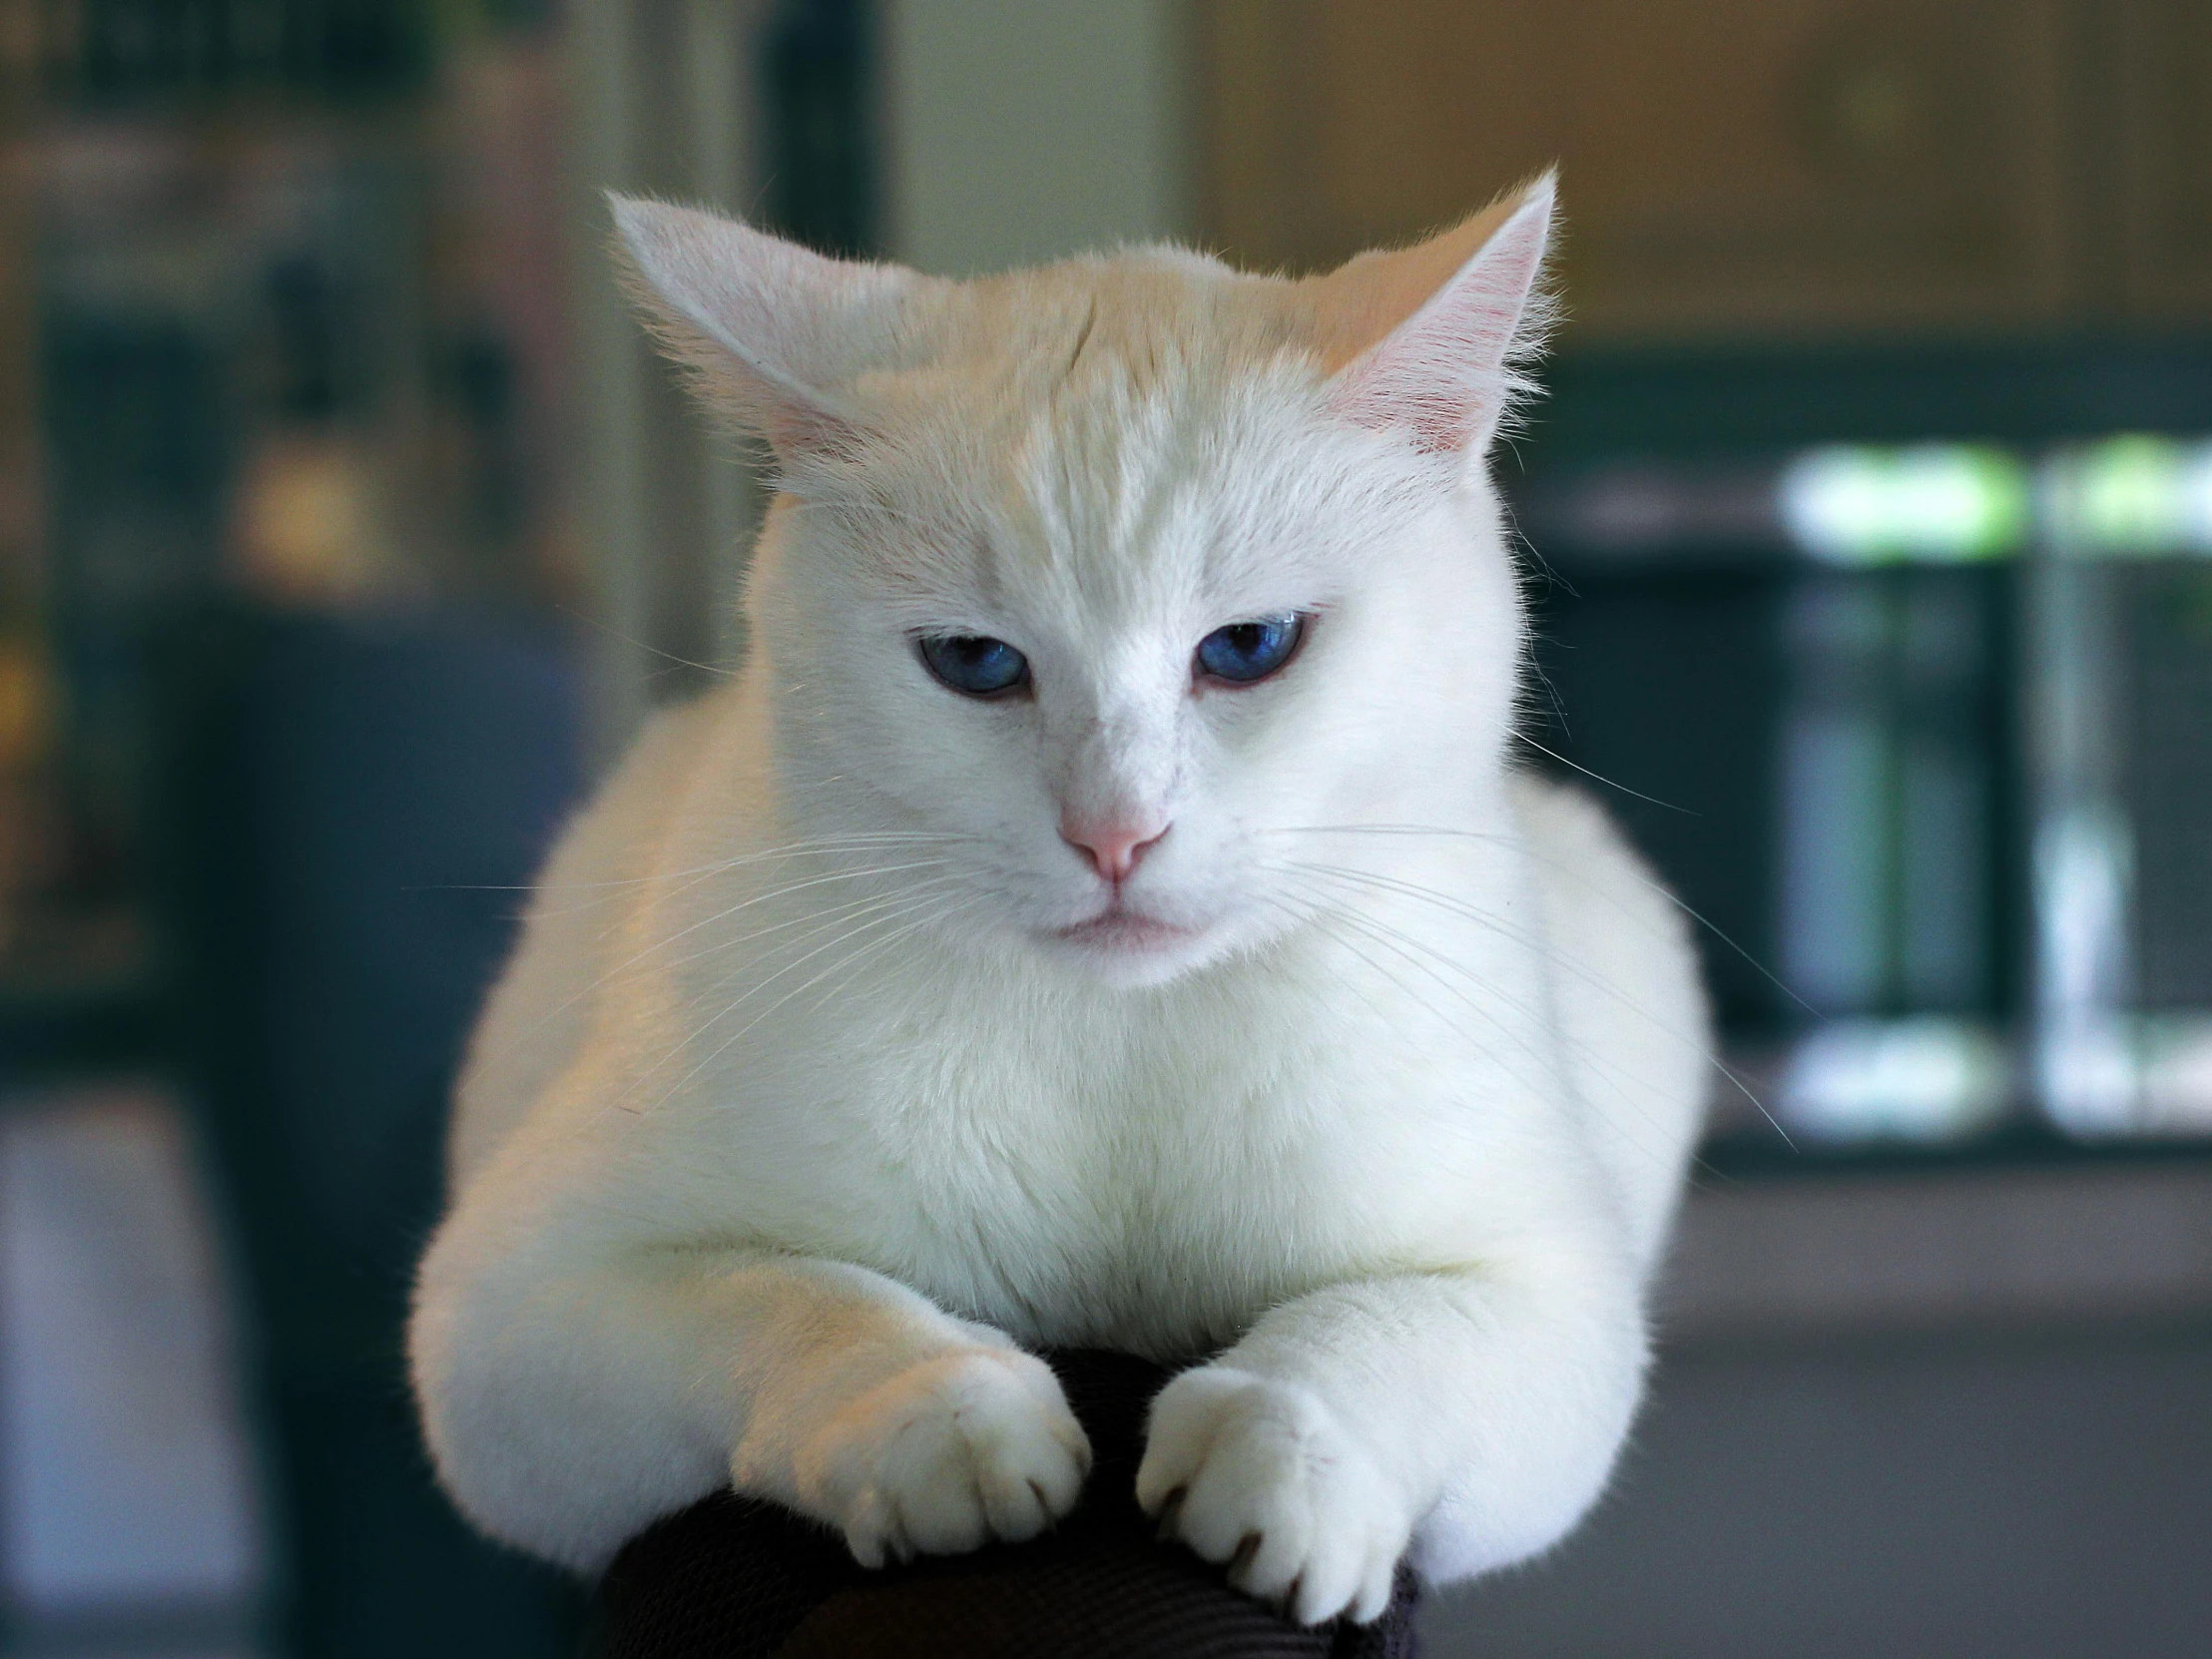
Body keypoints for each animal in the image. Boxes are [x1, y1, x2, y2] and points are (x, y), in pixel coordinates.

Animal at [411, 176, 1707, 1627]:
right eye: (975, 662)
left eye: (1249, 647)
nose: (1115, 834)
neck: (1115, 1049)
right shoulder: (514, 1304)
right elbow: (792, 1298)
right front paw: (938, 1418)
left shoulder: (1549, 1284)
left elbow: (1384, 1331)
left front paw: (1283, 1457)